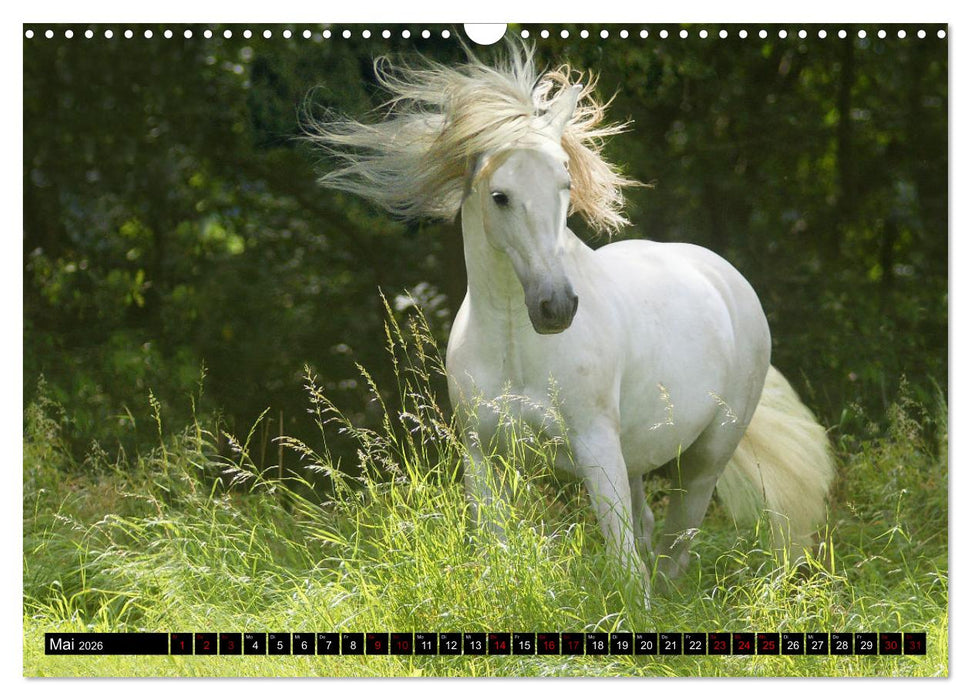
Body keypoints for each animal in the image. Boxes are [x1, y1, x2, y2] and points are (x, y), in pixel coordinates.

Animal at [306, 44, 835, 605]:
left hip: (706, 455)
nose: (556, 306)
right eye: (499, 195)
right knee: (651, 529)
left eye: (564, 184)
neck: (516, 345)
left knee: (675, 543)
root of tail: (726, 277)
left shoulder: (594, 445)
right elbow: (497, 553)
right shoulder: (483, 456)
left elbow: (623, 562)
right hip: (637, 456)